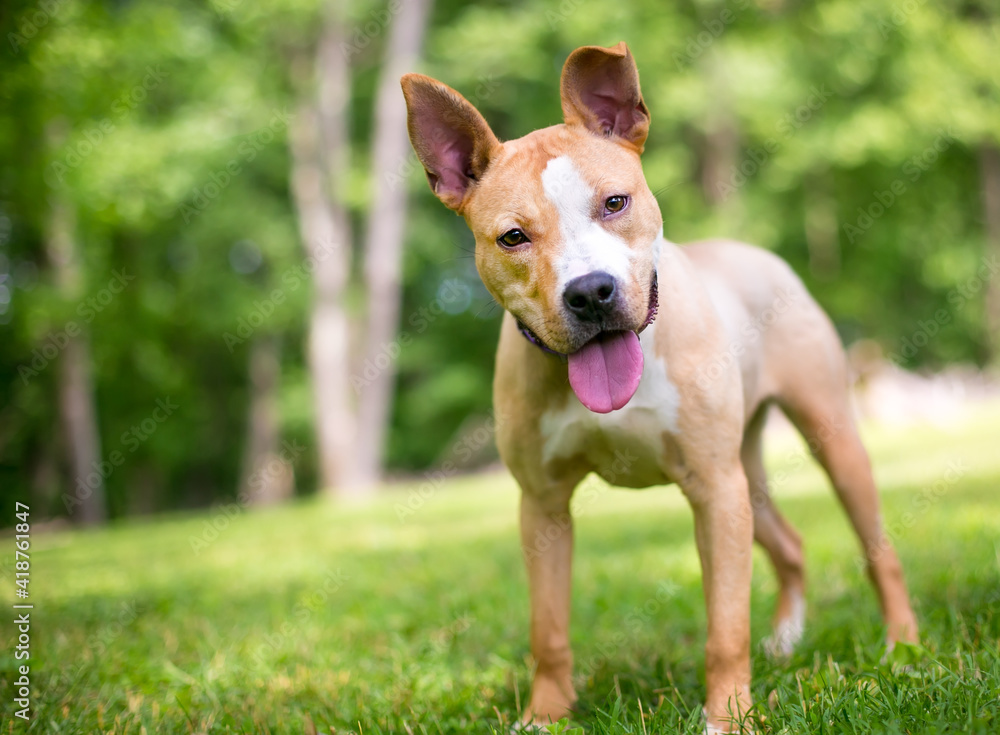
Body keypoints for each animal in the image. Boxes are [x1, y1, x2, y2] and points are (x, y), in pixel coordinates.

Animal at [402, 41, 916, 735]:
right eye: (513, 237)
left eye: (614, 203)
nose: (590, 292)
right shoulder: (543, 505)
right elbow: (548, 629)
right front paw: (545, 715)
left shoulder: (714, 491)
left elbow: (725, 624)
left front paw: (728, 716)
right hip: (746, 474)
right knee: (789, 544)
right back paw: (786, 641)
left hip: (824, 440)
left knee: (877, 547)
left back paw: (902, 645)